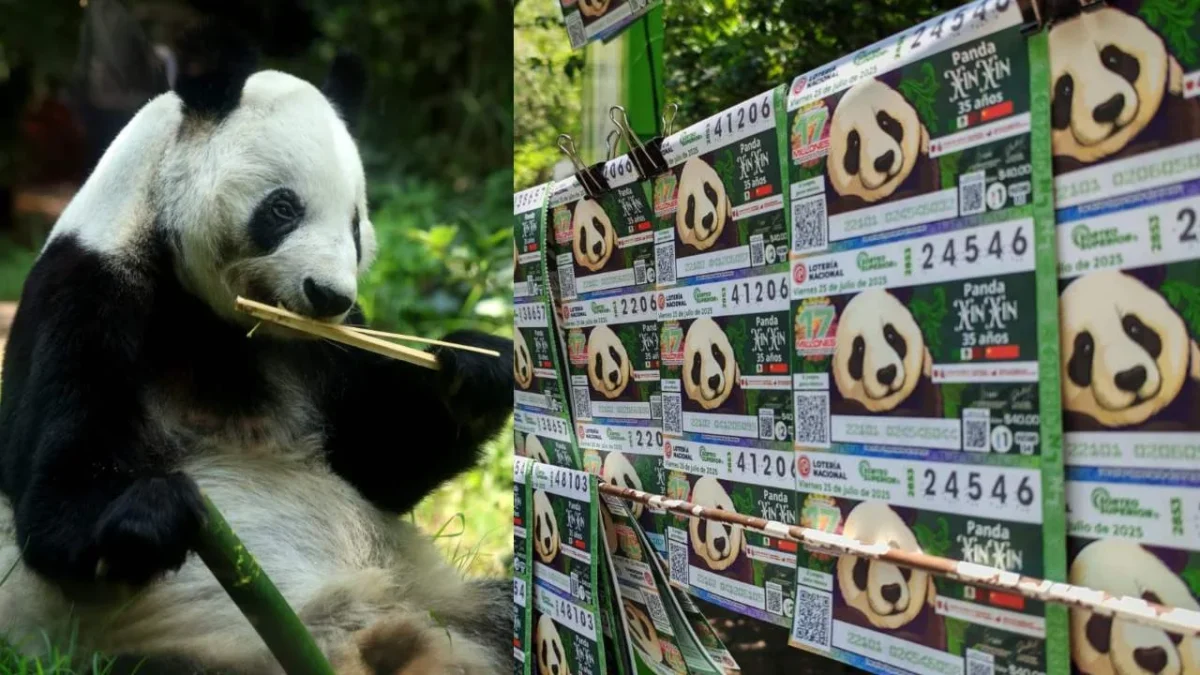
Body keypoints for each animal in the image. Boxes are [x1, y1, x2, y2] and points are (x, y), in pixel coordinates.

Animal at [0, 41, 513, 675]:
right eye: (282, 209)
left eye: (355, 225)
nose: (330, 296)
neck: (216, 322)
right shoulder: (86, 294)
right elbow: (54, 498)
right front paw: (156, 509)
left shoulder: (321, 352)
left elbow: (378, 462)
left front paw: (477, 370)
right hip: (174, 644)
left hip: (445, 601)